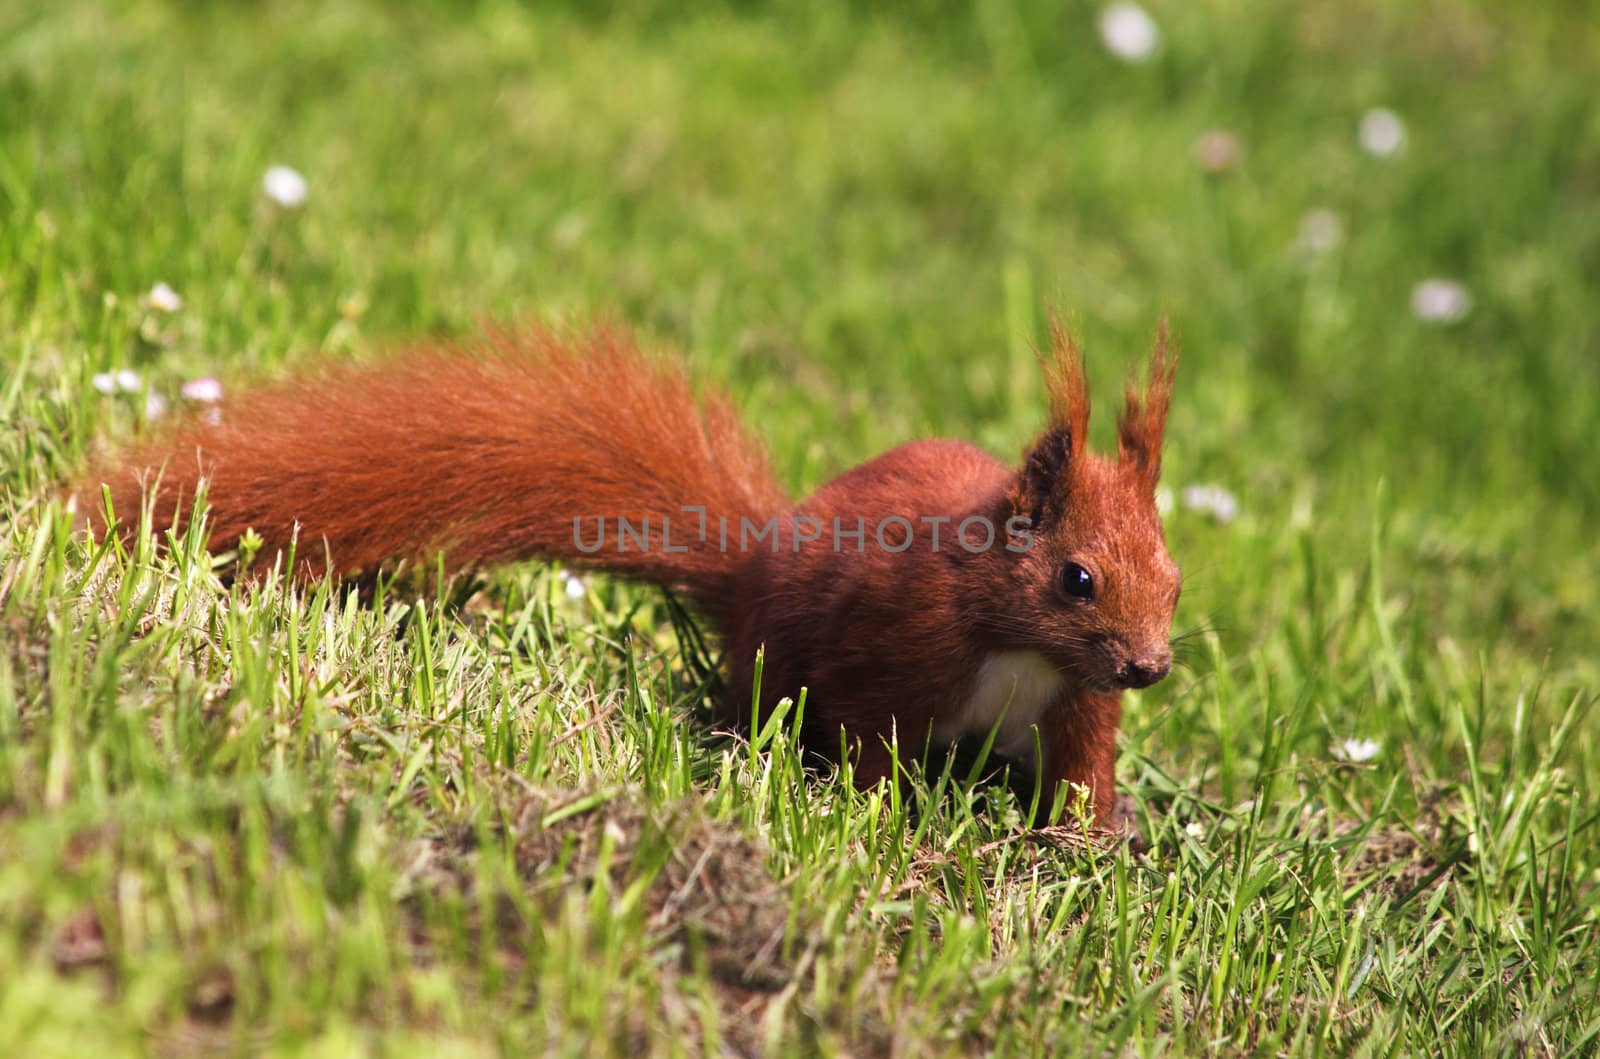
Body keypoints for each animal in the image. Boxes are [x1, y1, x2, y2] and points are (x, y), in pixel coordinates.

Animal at [81, 319, 1184, 831]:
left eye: (1174, 580)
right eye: (1076, 579)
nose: (1149, 667)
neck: (1015, 642)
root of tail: (748, 569)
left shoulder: (1077, 702)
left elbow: (1082, 769)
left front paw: (1092, 840)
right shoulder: (898, 646)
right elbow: (871, 746)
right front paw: (886, 823)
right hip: (773, 655)